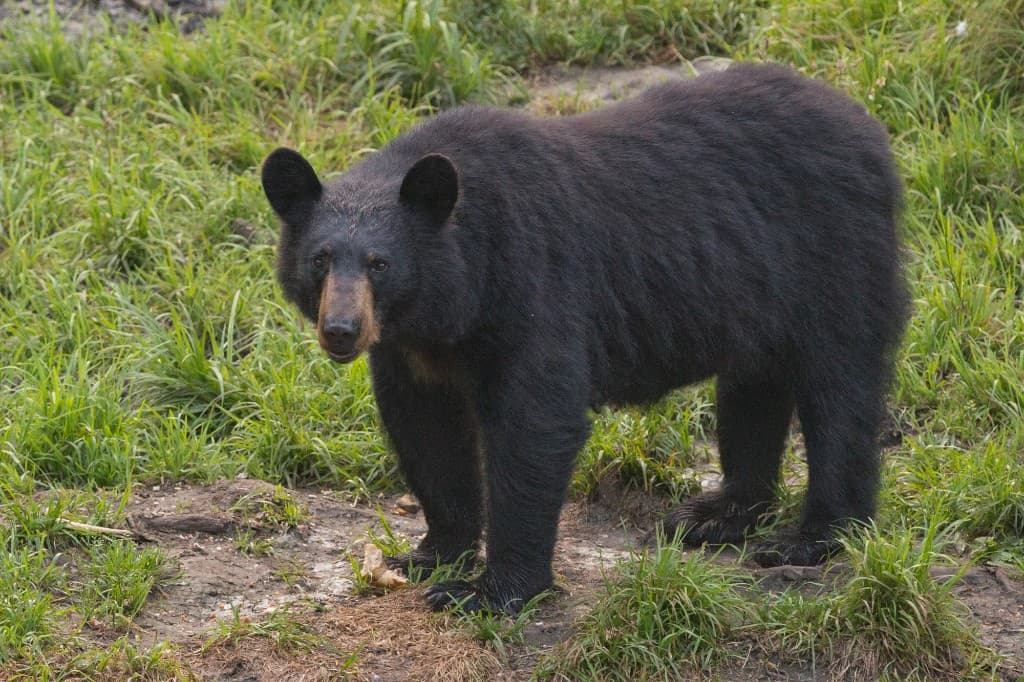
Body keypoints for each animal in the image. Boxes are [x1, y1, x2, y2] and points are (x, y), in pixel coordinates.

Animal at [262, 63, 907, 614]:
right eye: (320, 260)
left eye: (381, 264)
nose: (341, 331)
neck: (452, 299)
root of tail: (867, 125)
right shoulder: (410, 348)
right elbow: (428, 432)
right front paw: (426, 556)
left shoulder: (531, 284)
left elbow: (534, 423)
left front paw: (488, 593)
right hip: (756, 288)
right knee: (753, 389)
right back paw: (715, 515)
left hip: (834, 256)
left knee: (839, 392)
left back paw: (811, 538)